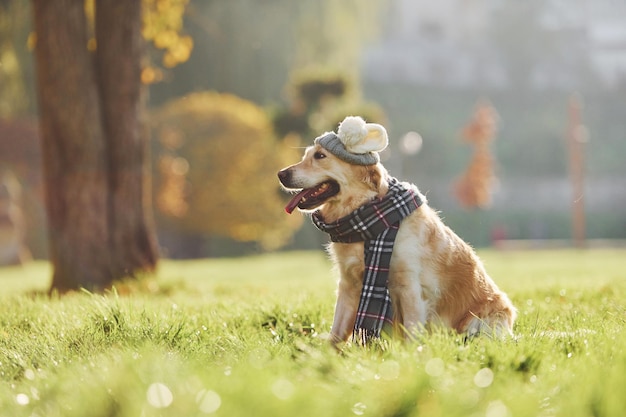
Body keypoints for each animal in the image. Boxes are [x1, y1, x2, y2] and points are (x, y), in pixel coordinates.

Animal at [278, 116, 516, 344]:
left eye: (320, 156)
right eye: (307, 155)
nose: (281, 174)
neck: (366, 219)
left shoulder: (409, 287)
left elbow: (411, 335)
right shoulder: (348, 285)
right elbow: (336, 335)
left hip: (484, 321)